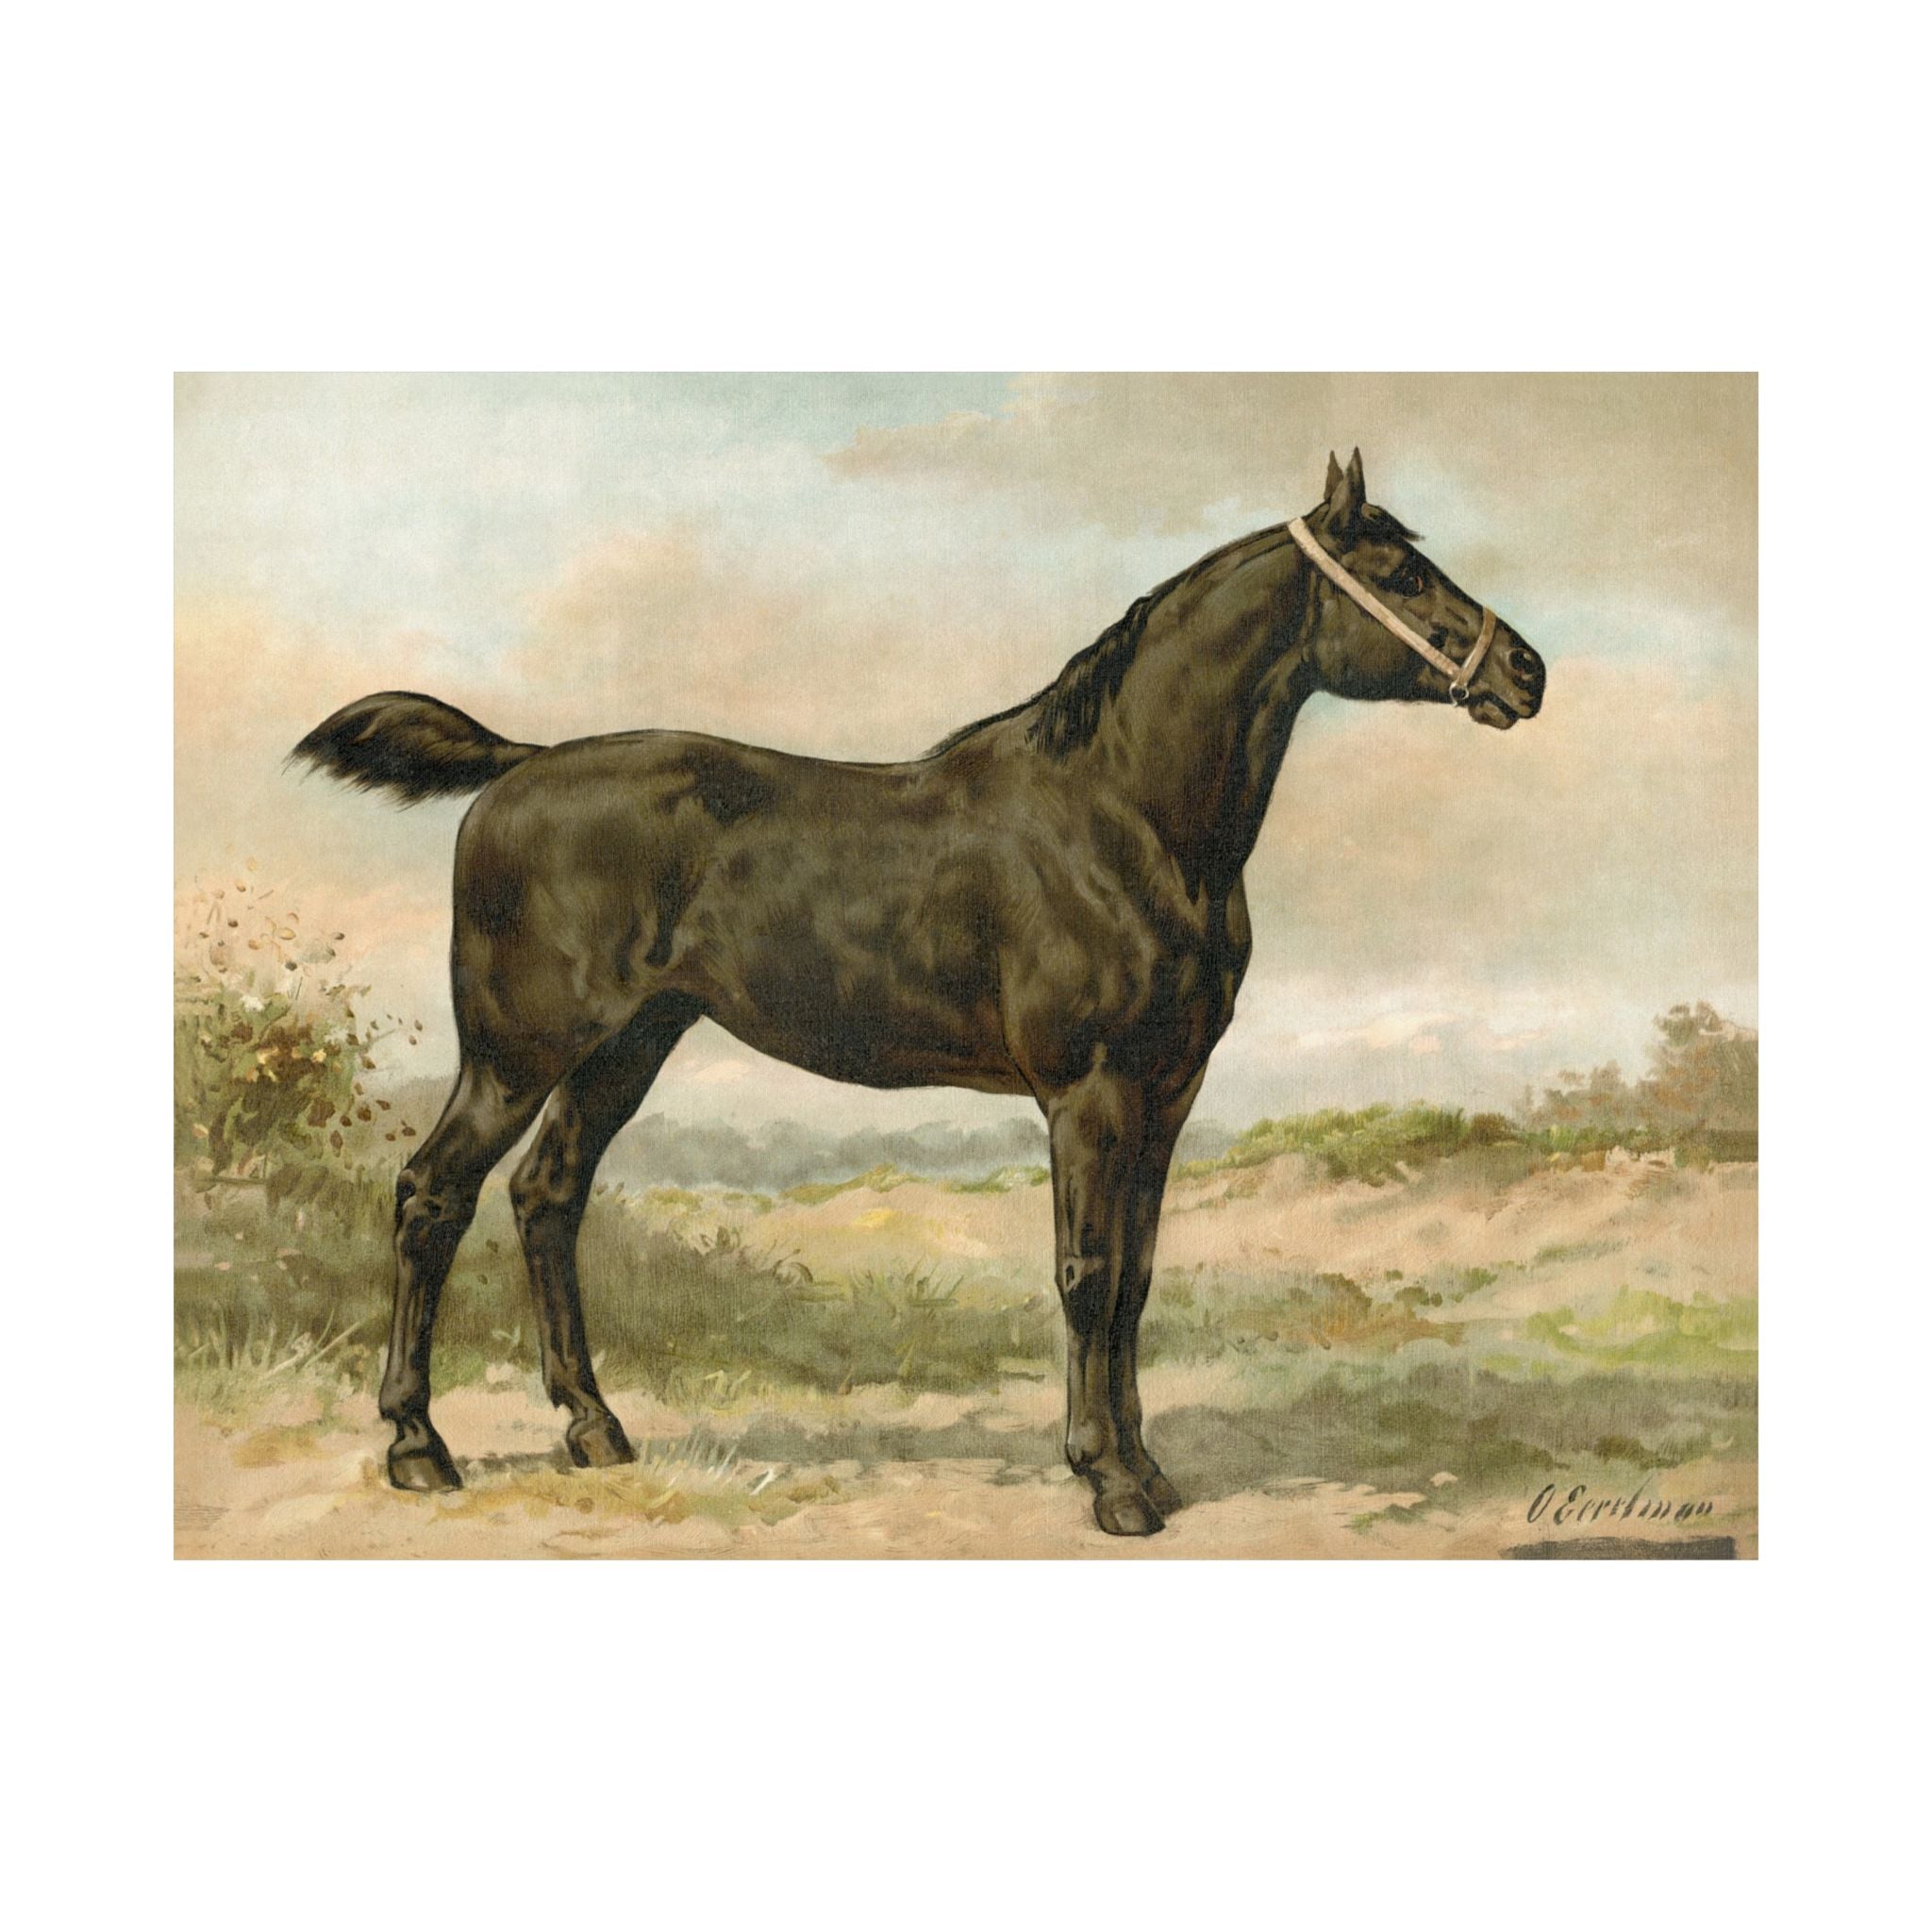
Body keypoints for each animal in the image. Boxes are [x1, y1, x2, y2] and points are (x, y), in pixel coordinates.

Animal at [290, 449, 1546, 1536]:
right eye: (1399, 573)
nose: (1525, 672)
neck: (1121, 813)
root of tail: (519, 765)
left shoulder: (1167, 1090)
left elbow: (1136, 1280)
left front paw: (1147, 1467)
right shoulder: (1089, 1095)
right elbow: (1086, 1275)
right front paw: (1108, 1482)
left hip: (627, 1047)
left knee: (547, 1197)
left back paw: (595, 1429)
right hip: (516, 1053)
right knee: (431, 1197)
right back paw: (417, 1446)